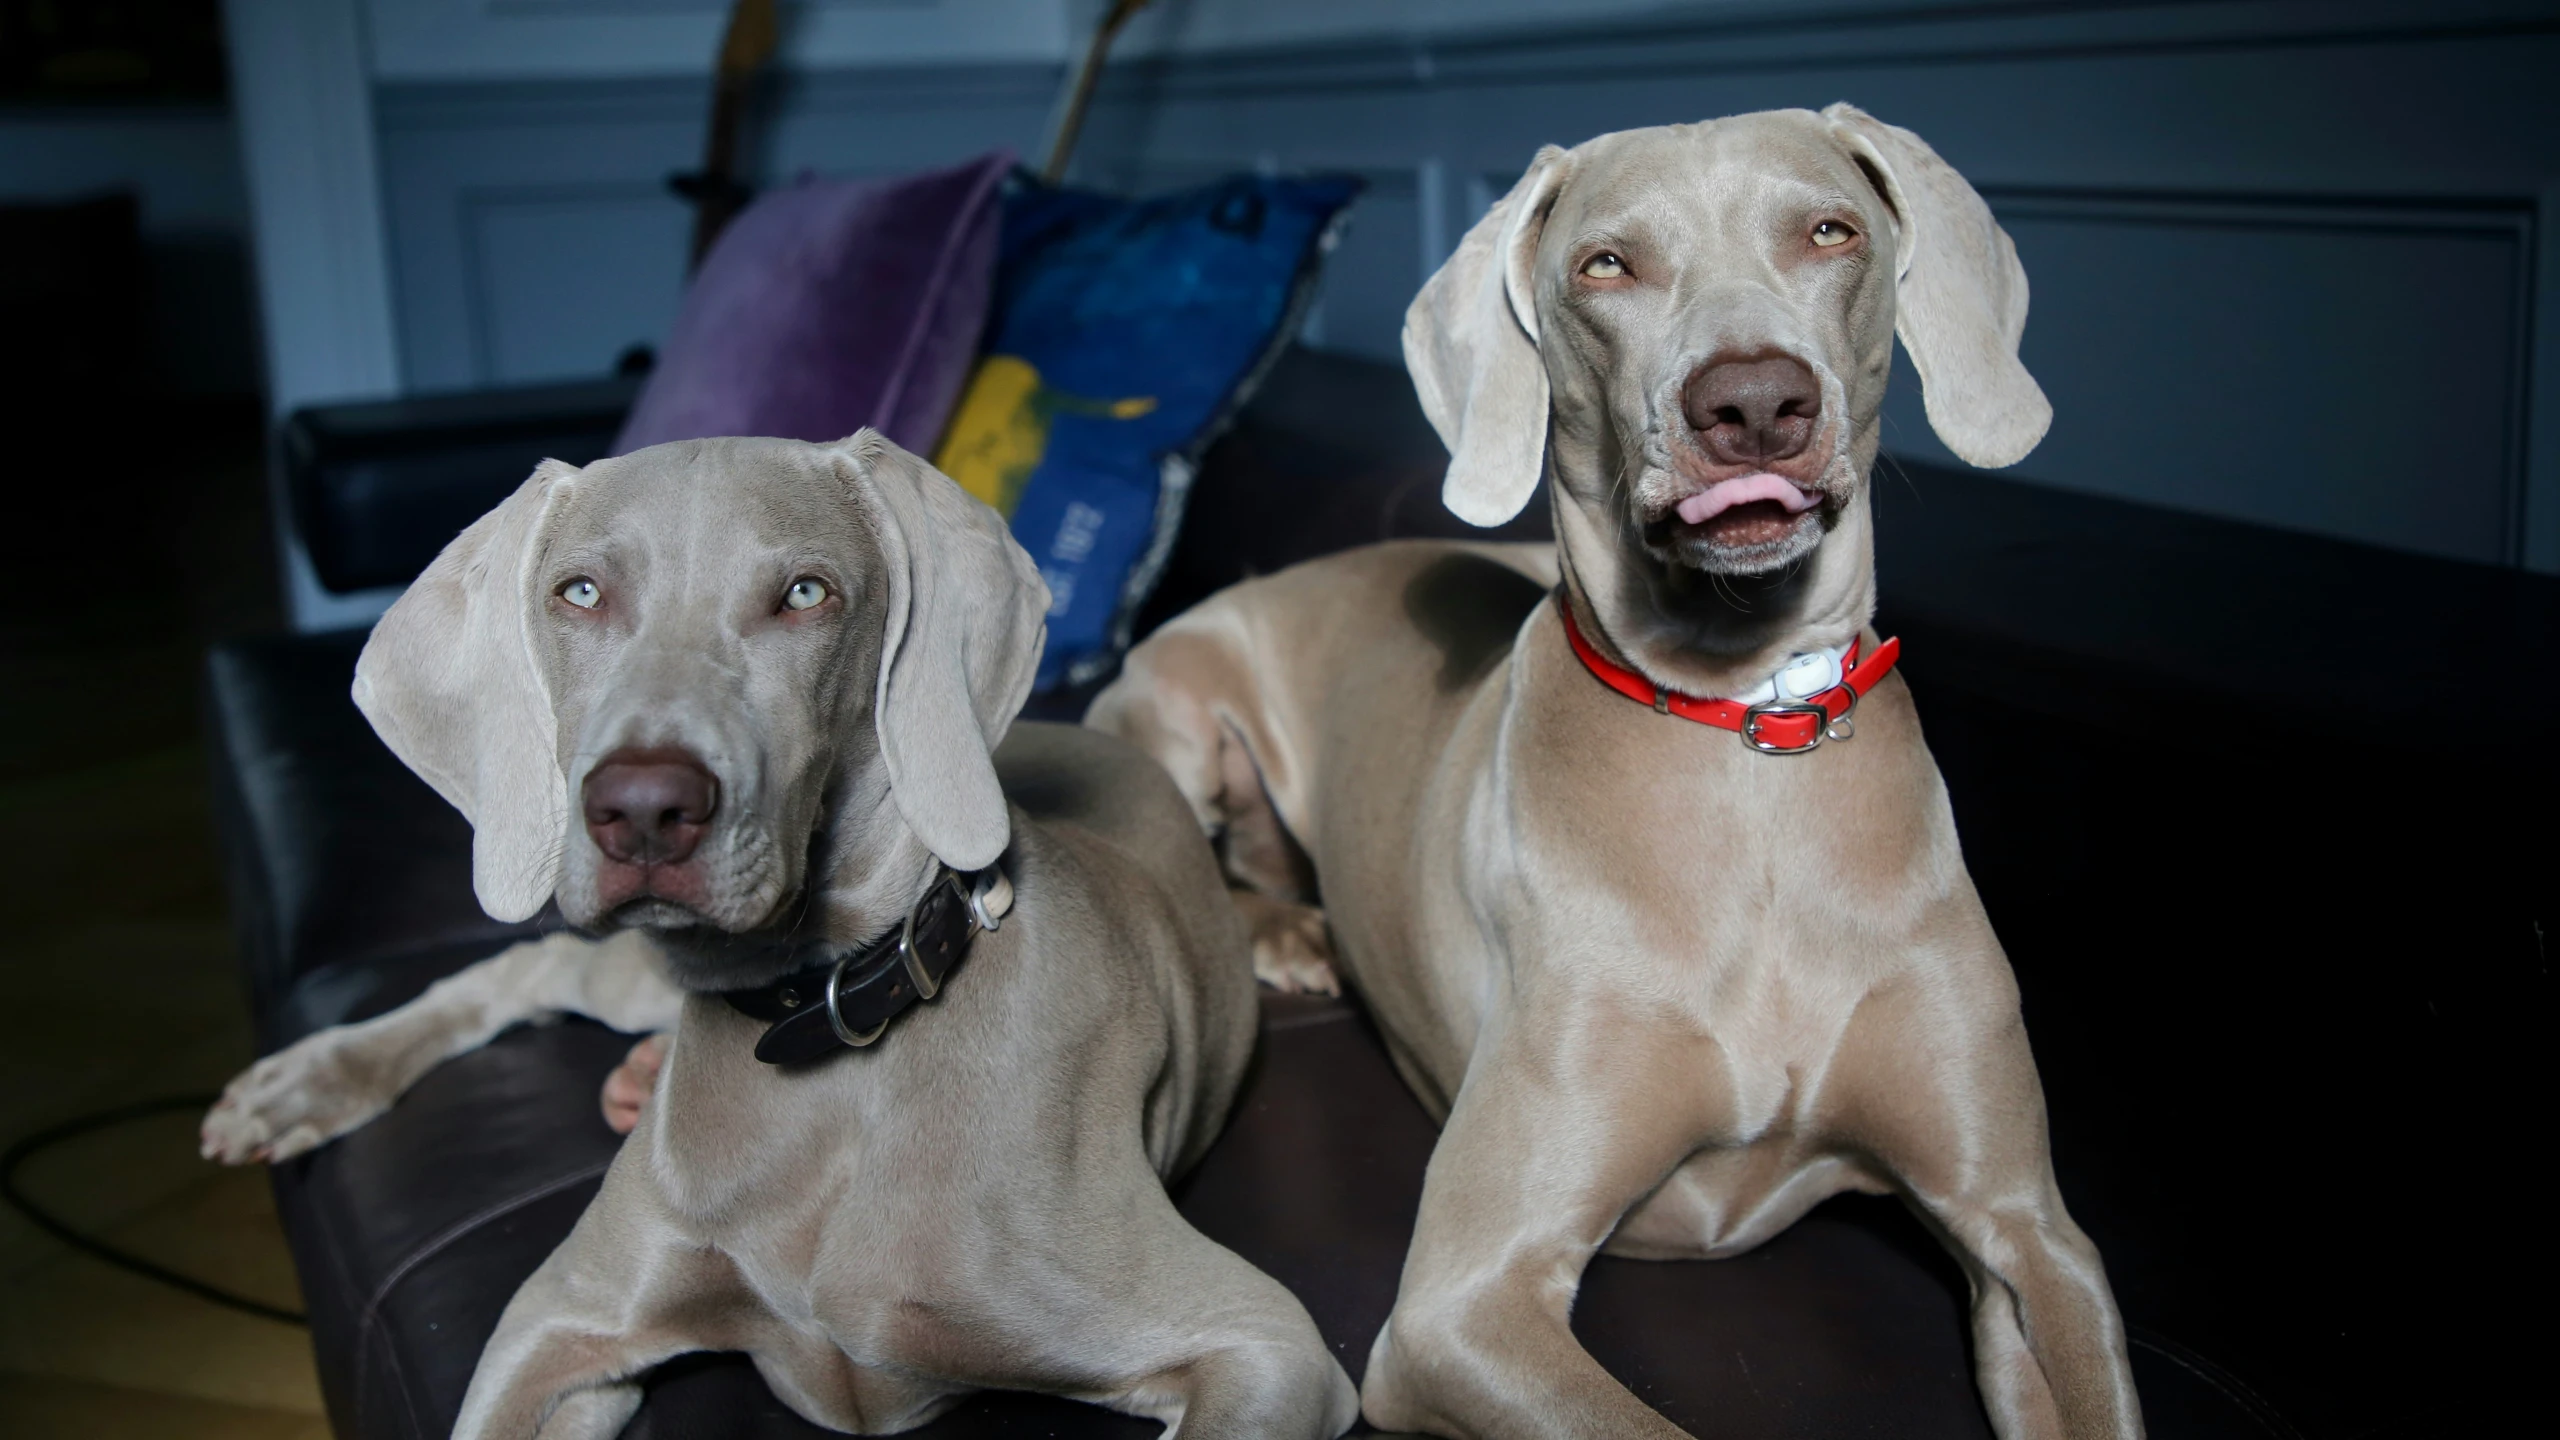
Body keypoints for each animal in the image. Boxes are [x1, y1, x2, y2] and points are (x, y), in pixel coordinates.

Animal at [1085, 106, 2140, 1434]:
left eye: (1829, 232)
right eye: (1604, 266)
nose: (1754, 401)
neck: (1743, 730)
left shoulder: (2031, 1236)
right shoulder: (1462, 1305)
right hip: (1177, 710)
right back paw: (1284, 933)